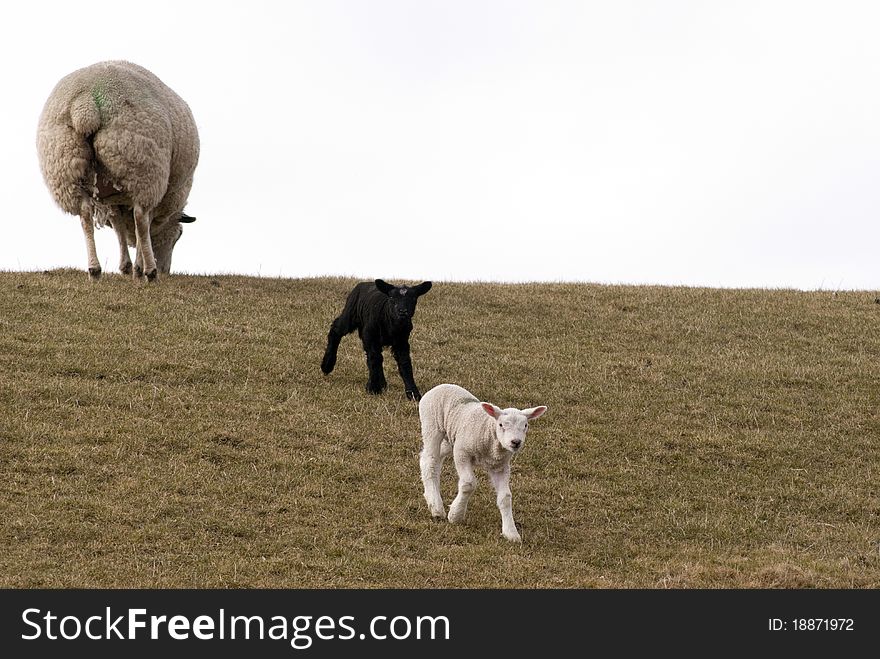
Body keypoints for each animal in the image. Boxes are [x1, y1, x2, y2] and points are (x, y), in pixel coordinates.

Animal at [36, 58, 199, 282]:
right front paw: (138, 267)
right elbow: (143, 225)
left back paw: (94, 270)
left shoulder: (111, 196)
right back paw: (150, 272)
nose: (166, 269)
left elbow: (118, 226)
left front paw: (126, 266)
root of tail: (85, 103)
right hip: (142, 163)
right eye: (178, 236)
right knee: (140, 216)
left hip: (64, 163)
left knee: (85, 214)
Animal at [422, 384, 552, 544]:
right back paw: (436, 508)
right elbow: (468, 484)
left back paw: (431, 498)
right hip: (432, 426)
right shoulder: (462, 452)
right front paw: (455, 514)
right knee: (431, 462)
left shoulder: (500, 466)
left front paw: (510, 532)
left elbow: (505, 497)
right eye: (501, 425)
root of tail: (442, 385)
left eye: (526, 425)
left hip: (450, 438)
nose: (516, 442)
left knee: (428, 458)